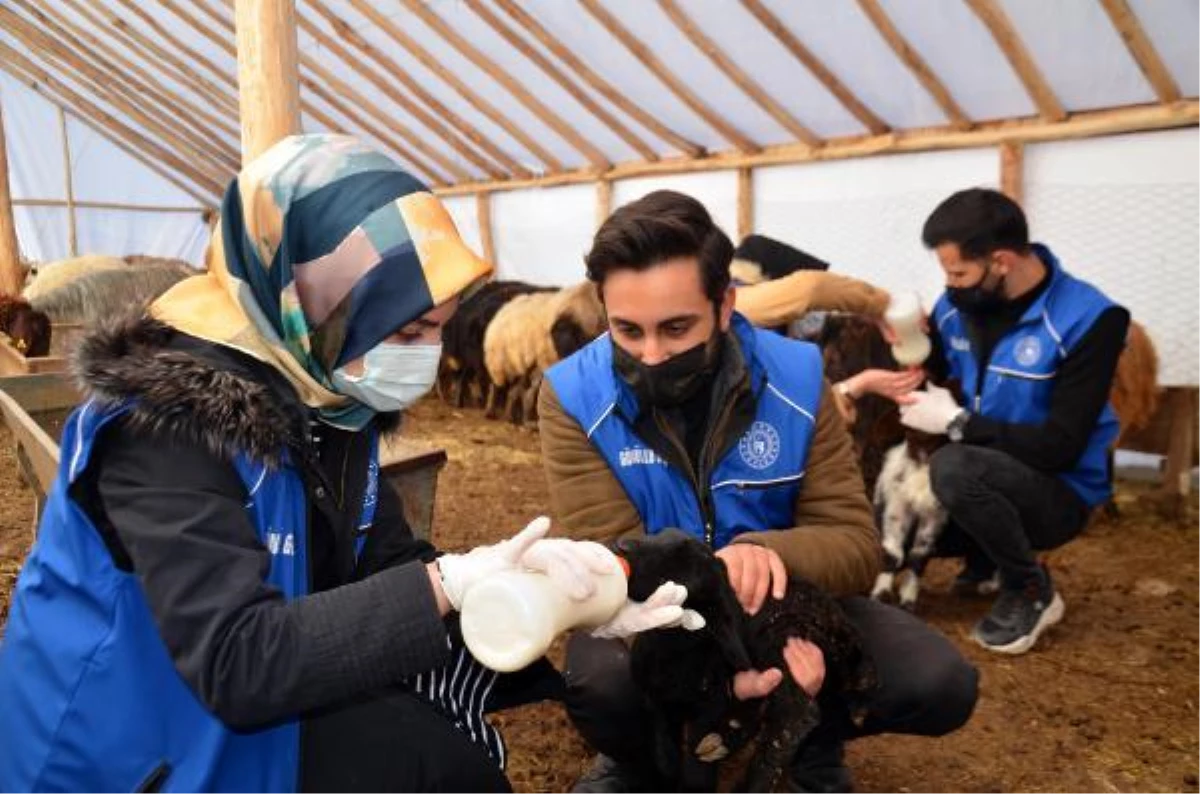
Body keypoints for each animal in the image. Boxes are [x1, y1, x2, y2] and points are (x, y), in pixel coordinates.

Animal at [619, 527, 873, 794]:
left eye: (685, 566)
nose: (623, 545)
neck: (674, 650)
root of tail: (832, 617)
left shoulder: (709, 704)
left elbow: (695, 769)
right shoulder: (652, 699)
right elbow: (663, 752)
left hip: (780, 637)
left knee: (796, 713)